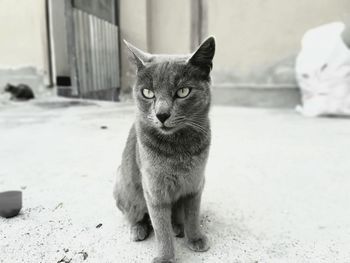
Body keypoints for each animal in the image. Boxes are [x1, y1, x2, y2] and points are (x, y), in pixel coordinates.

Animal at [113, 36, 215, 262]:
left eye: (183, 92)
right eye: (148, 93)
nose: (162, 114)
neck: (177, 149)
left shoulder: (196, 184)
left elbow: (192, 215)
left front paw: (195, 238)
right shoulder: (154, 191)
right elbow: (161, 228)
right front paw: (165, 257)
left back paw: (178, 226)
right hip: (125, 187)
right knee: (135, 215)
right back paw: (138, 229)